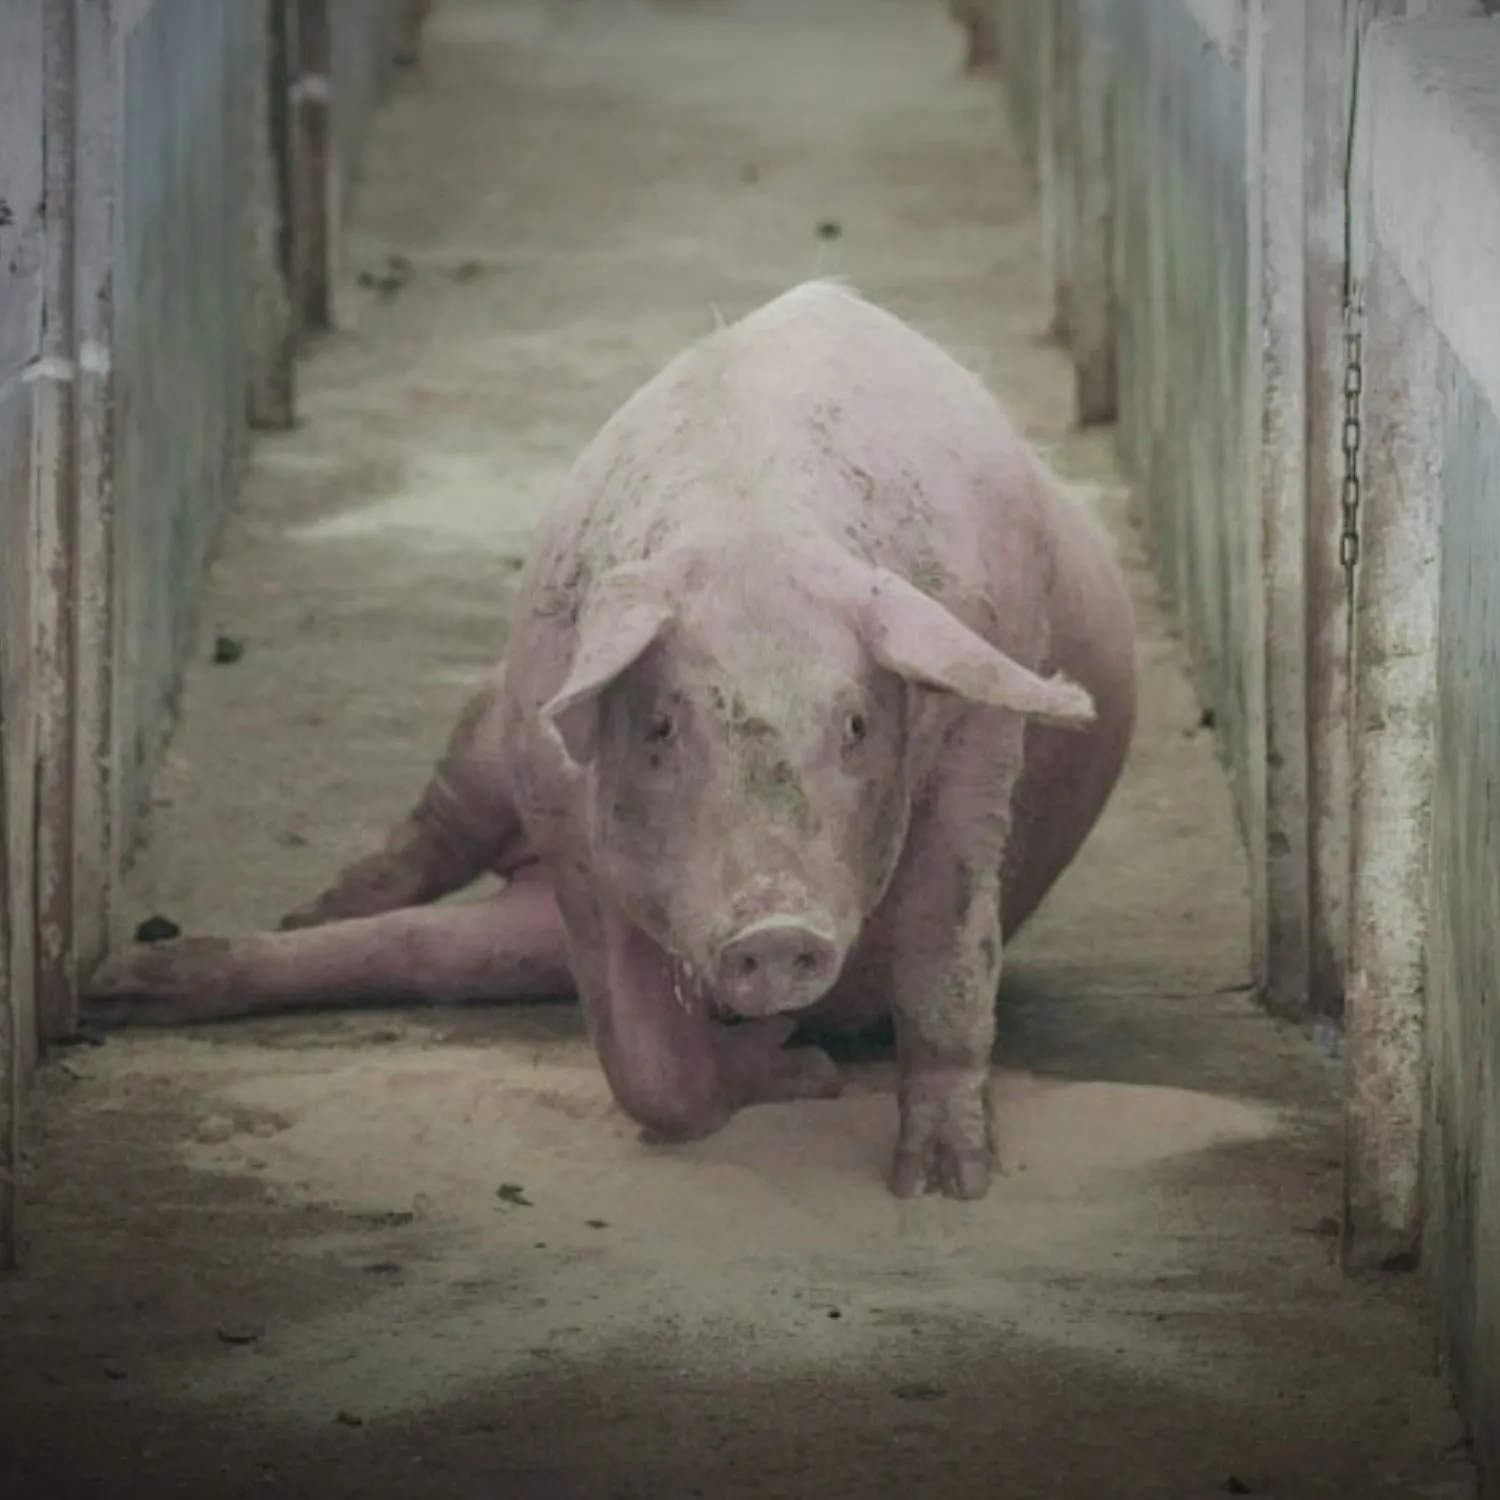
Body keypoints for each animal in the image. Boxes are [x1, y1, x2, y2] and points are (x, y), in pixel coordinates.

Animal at [85, 280, 1137, 1200]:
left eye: (855, 723)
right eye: (664, 724)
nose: (776, 934)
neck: (755, 530)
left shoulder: (981, 731)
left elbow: (945, 953)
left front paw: (945, 1183)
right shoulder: (565, 822)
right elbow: (644, 1069)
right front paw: (800, 1071)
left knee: (421, 951)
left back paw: (125, 986)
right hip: (491, 727)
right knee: (422, 860)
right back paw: (226, 940)